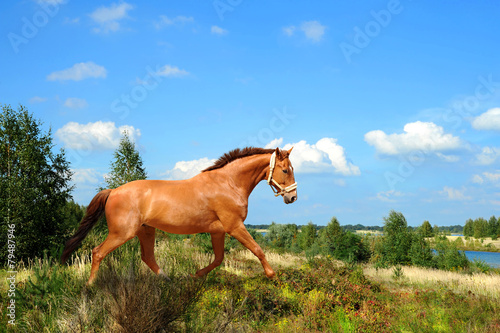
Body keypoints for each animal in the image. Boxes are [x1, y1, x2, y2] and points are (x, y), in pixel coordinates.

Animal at [62, 147, 296, 282]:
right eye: (285, 170)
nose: (293, 197)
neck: (228, 183)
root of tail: (113, 191)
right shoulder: (234, 226)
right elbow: (257, 249)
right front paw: (272, 275)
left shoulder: (218, 232)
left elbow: (218, 259)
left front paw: (195, 275)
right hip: (122, 233)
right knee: (97, 252)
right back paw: (90, 286)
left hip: (146, 231)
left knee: (148, 257)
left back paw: (168, 281)